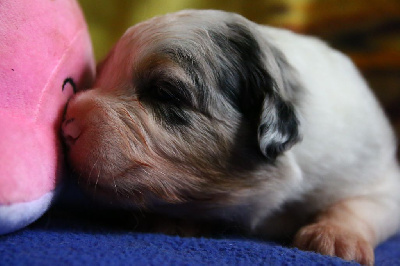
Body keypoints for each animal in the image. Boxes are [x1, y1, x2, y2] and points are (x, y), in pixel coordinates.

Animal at [61, 9, 400, 264]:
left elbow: (360, 204)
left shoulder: (376, 172)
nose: (67, 125)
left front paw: (334, 237)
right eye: (99, 76)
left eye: (164, 94)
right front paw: (177, 221)